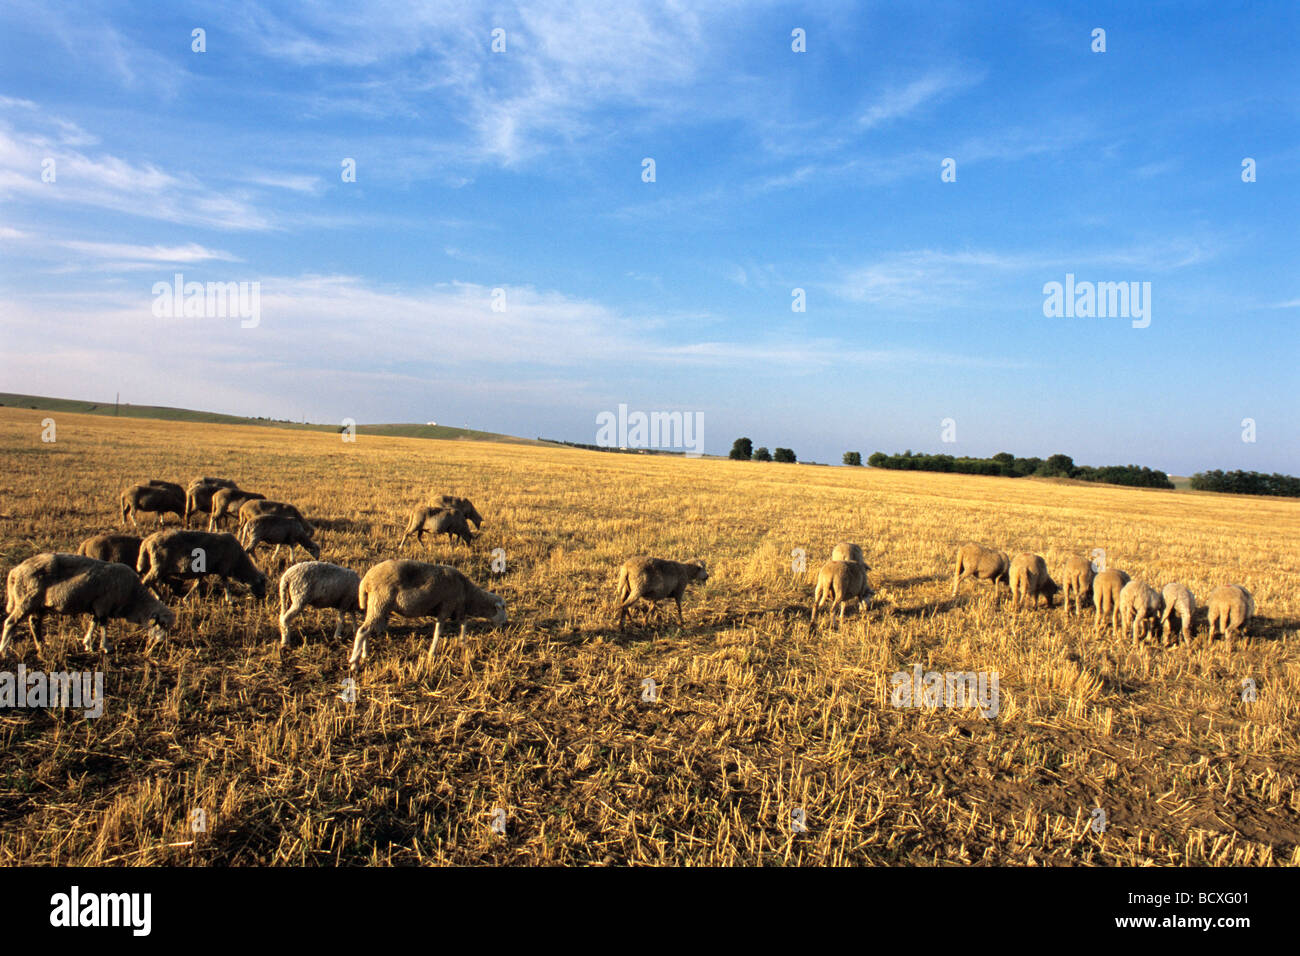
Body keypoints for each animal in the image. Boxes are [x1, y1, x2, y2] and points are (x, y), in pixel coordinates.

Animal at [0, 554, 175, 658]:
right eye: (162, 624)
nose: (161, 643)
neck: (133, 597)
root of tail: (15, 572)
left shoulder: (96, 605)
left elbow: (94, 622)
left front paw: (87, 644)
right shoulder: (104, 604)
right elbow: (103, 624)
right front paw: (105, 647)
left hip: (37, 605)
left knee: (34, 624)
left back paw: (42, 647)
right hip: (26, 600)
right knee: (10, 623)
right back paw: (5, 651)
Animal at [137, 528, 266, 600]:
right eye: (262, 583)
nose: (263, 597)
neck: (239, 561)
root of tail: (147, 541)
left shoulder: (205, 570)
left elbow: (197, 583)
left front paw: (186, 598)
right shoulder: (224, 567)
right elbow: (226, 583)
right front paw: (229, 600)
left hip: (155, 567)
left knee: (150, 582)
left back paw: (160, 597)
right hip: (158, 567)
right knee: (146, 582)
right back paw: (154, 597)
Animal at [351, 556, 506, 671]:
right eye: (503, 607)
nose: (505, 622)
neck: (468, 593)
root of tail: (366, 580)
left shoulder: (458, 609)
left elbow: (464, 623)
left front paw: (463, 643)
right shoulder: (446, 607)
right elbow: (439, 631)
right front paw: (432, 653)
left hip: (376, 606)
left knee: (367, 630)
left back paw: (364, 654)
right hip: (380, 602)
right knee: (362, 631)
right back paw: (354, 663)